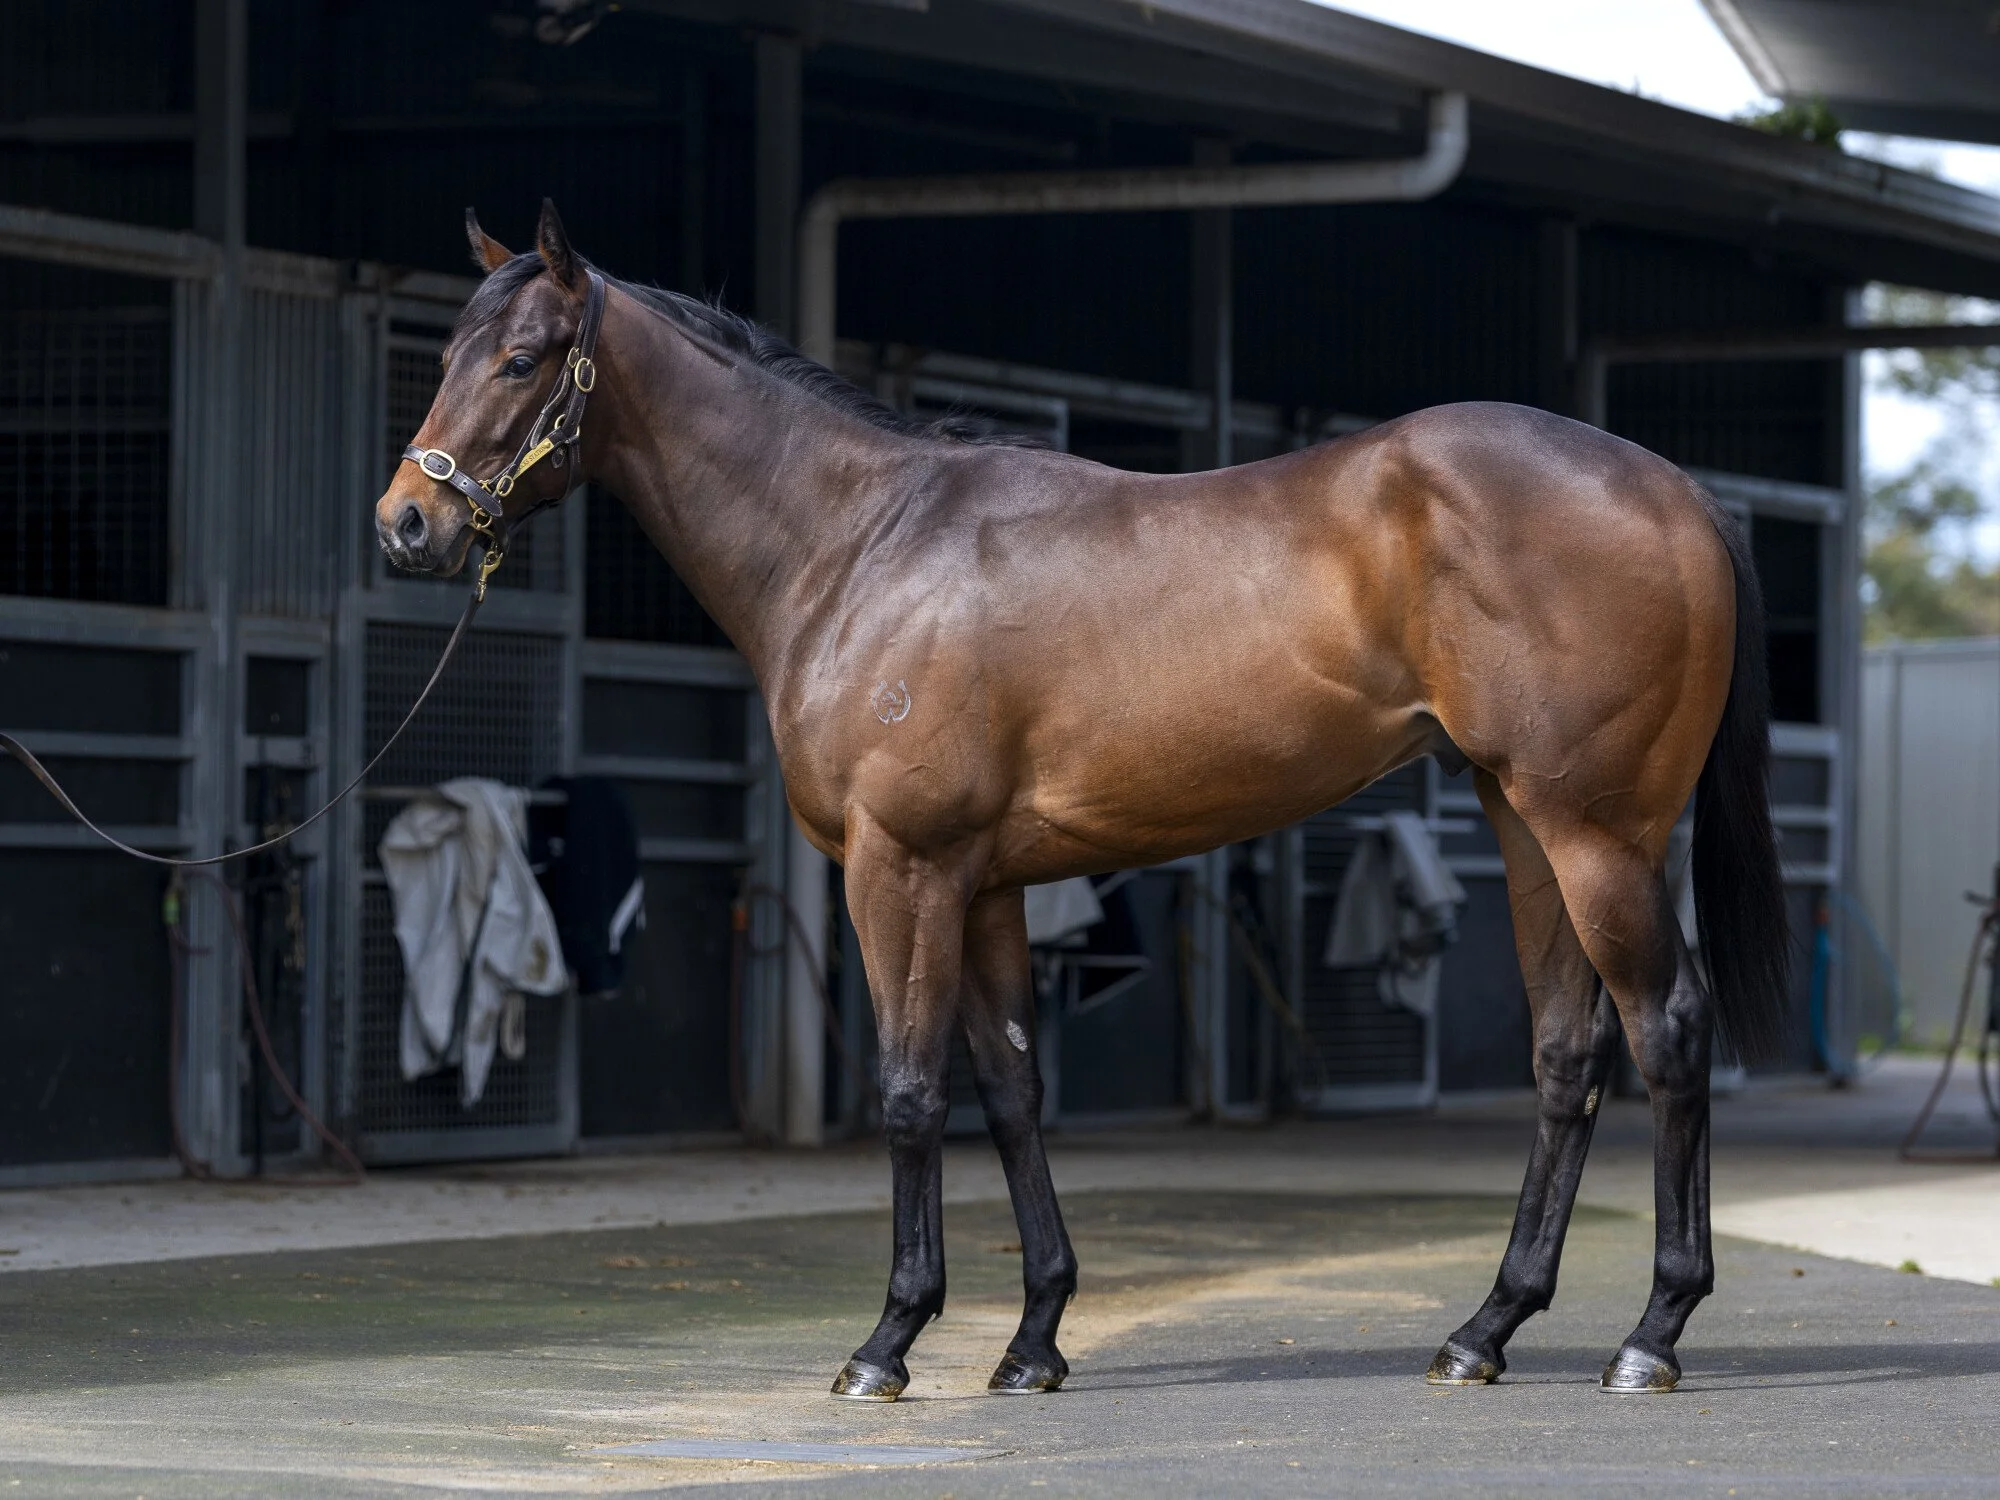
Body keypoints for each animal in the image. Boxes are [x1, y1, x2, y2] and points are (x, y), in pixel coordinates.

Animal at [376, 201, 1788, 1400]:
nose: (406, 525)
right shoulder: (985, 885)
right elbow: (1009, 1091)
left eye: (521, 359)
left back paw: (1650, 1336)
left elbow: (909, 1091)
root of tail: (1673, 488)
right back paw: (1483, 1331)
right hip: (1521, 822)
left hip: (1594, 835)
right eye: (446, 350)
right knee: (1566, 1052)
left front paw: (887, 1344)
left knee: (1665, 1031)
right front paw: (1033, 1341)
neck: (863, 544)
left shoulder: (899, 870)